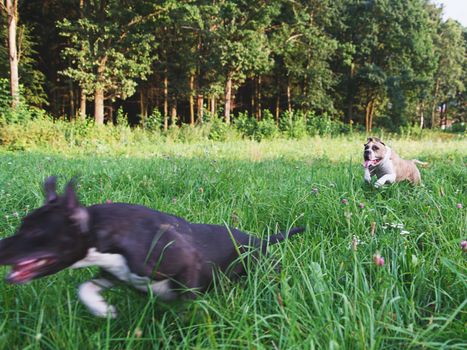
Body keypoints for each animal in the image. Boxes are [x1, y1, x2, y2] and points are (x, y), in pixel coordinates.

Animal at [0, 178, 308, 318]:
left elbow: (187, 303)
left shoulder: (186, 264)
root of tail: (260, 240)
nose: (1, 248)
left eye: (37, 232)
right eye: (22, 224)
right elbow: (85, 288)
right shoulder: (113, 273)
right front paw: (103, 309)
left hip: (263, 269)